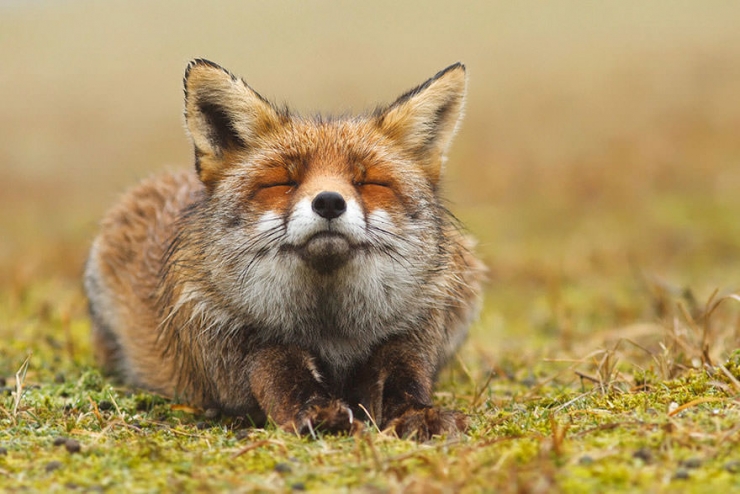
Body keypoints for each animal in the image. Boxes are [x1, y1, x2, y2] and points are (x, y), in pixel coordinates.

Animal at [84, 59, 485, 440]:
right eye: (283, 182)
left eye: (369, 182)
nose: (328, 202)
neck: (331, 329)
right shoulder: (238, 340)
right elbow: (283, 376)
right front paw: (318, 413)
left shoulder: (410, 335)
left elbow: (403, 384)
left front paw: (418, 415)